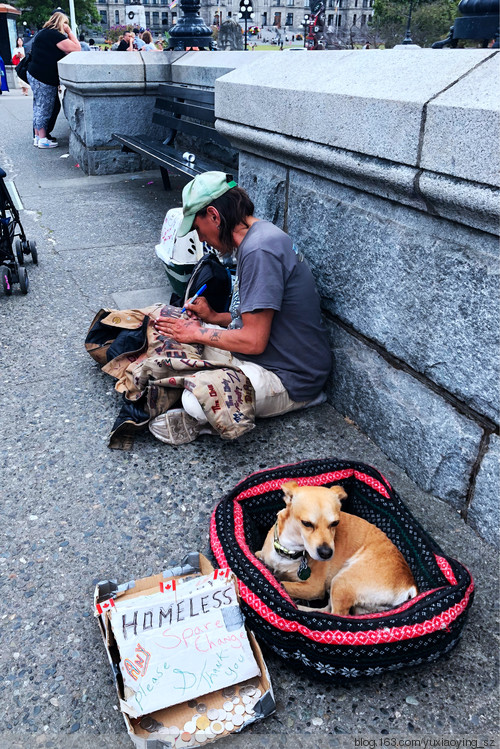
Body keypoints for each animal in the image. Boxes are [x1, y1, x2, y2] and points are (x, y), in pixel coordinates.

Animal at [256, 480, 416, 612]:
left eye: (335, 523)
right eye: (306, 523)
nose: (326, 553)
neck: (288, 551)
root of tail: (409, 584)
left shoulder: (314, 588)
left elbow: (284, 584)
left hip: (341, 582)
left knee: (336, 614)